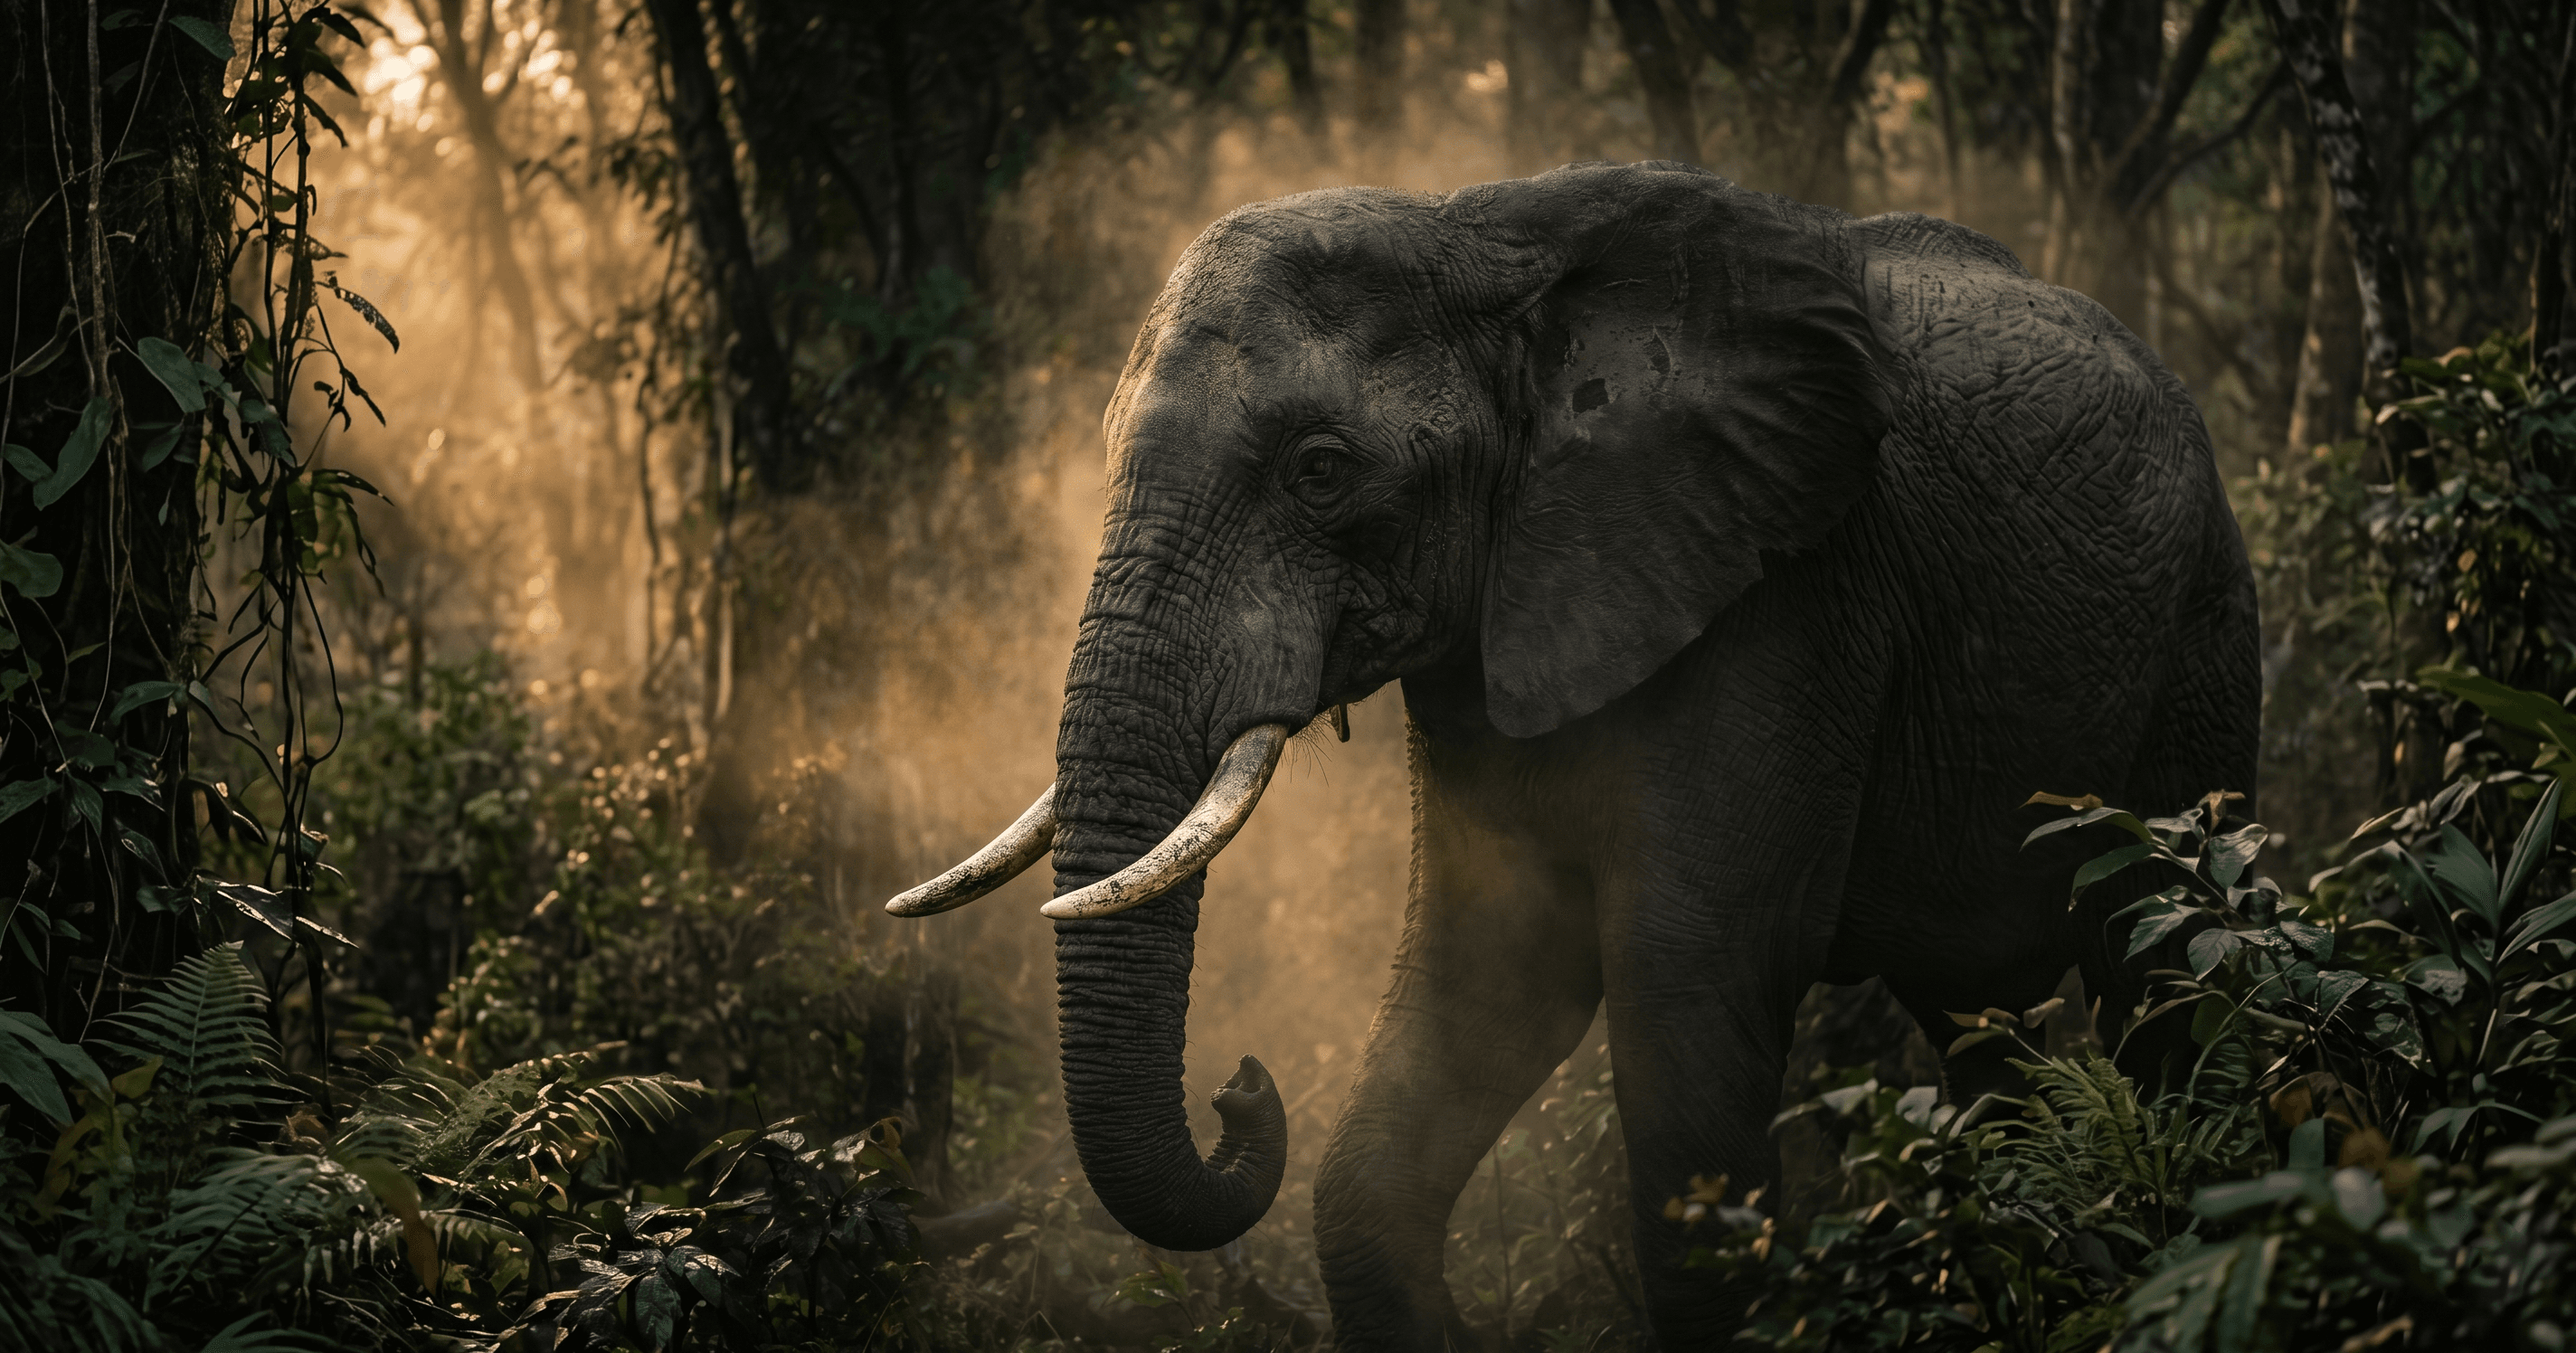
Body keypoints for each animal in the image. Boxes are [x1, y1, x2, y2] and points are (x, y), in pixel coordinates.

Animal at [888, 160, 2259, 1348]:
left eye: (1320, 470)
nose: (1238, 1085)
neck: (1475, 237)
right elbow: (1481, 974)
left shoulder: (1788, 602)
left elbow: (1687, 993)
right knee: (1985, 1026)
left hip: (2201, 630)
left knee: (2164, 971)